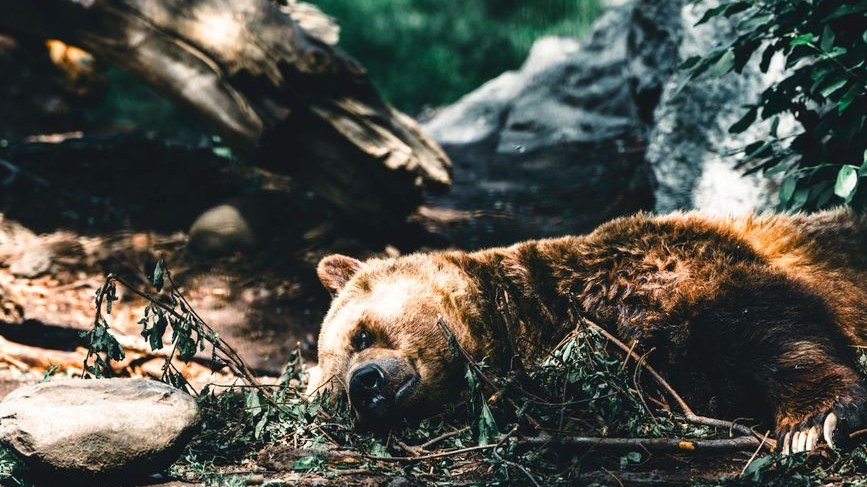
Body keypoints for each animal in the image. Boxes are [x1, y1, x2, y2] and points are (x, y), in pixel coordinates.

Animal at [307, 209, 867, 455]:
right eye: (332, 394)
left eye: (360, 335)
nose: (365, 384)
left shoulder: (663, 266)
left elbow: (760, 323)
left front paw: (812, 421)